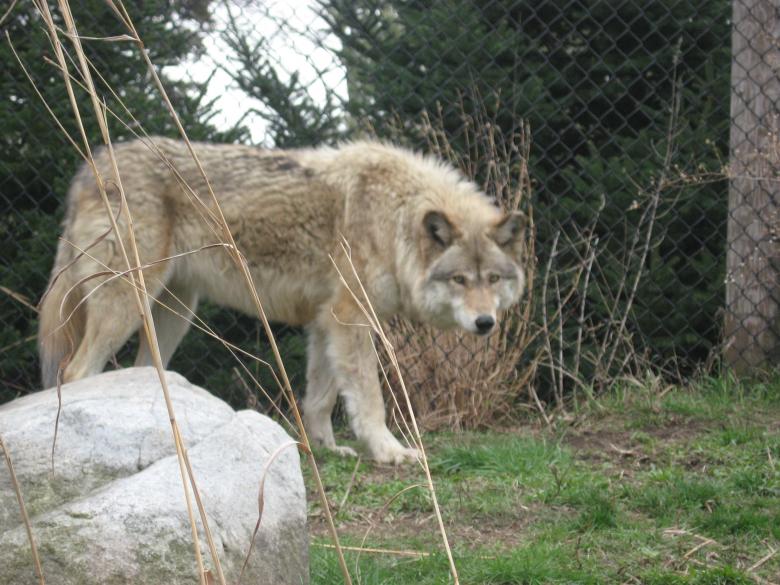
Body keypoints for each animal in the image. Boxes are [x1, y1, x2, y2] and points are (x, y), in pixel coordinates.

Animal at [38, 137, 526, 463]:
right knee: (75, 372)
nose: (485, 323)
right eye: (460, 279)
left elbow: (320, 398)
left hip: (174, 311)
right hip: (126, 305)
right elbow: (369, 397)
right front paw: (389, 451)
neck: (395, 218)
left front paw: (326, 449)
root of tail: (89, 167)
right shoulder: (351, 317)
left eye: (492, 279)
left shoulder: (326, 322)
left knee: (141, 371)